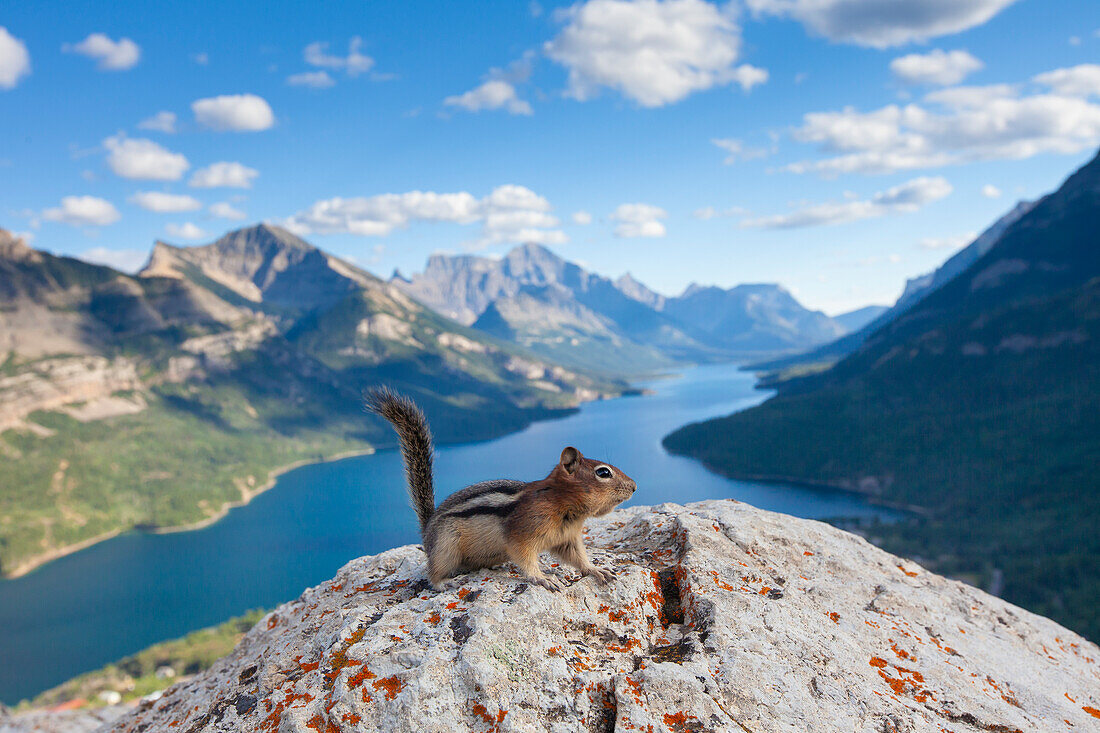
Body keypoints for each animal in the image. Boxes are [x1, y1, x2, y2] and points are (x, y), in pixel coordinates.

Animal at [367, 387, 638, 589]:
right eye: (603, 473)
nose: (635, 487)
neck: (562, 504)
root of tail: (427, 530)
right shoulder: (522, 534)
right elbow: (525, 558)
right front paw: (543, 578)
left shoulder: (567, 539)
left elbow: (578, 558)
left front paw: (597, 570)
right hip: (446, 546)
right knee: (433, 572)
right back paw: (444, 582)